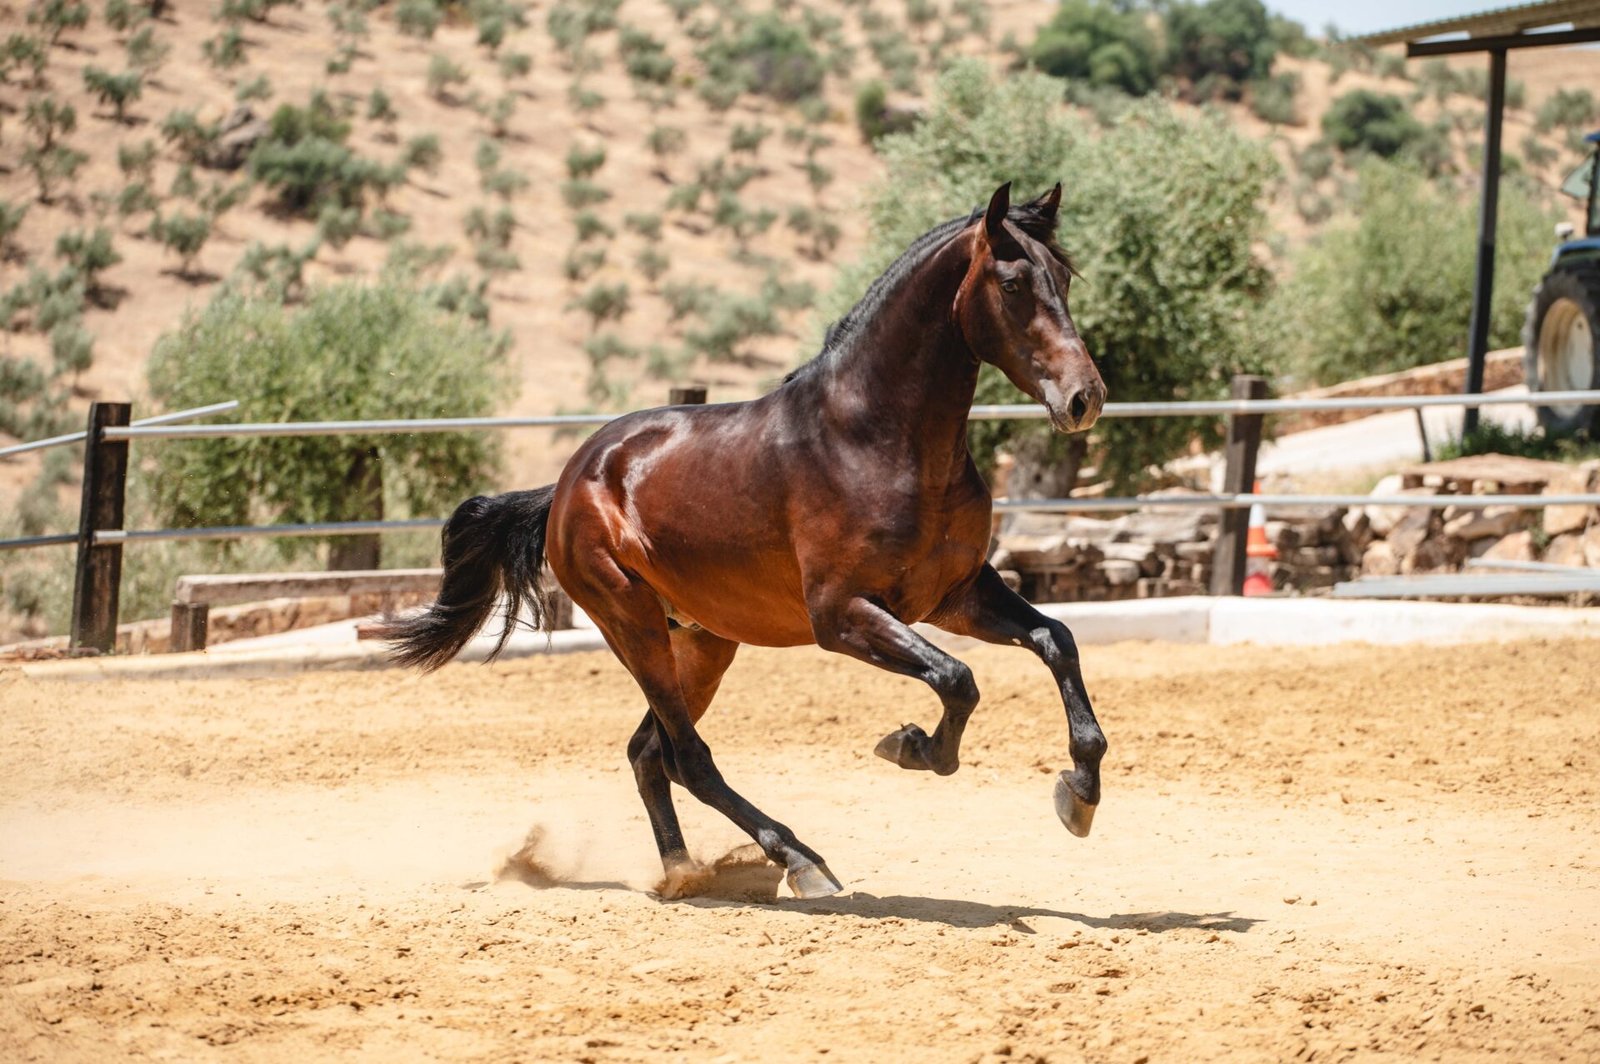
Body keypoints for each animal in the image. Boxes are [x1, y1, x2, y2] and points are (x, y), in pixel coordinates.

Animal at [385, 182, 1108, 900]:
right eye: (1012, 283)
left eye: (1065, 278)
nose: (1085, 399)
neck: (874, 439)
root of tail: (566, 485)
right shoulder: (842, 615)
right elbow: (958, 678)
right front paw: (909, 746)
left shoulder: (955, 595)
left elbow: (1055, 640)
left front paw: (1077, 792)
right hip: (633, 625)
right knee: (688, 757)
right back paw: (798, 861)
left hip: (702, 641)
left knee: (650, 753)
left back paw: (686, 872)